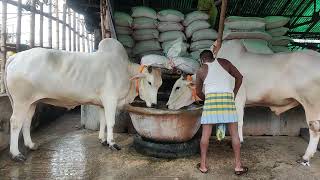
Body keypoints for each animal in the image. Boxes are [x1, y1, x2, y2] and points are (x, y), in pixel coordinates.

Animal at [5, 38, 162, 162]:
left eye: (160, 84)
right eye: (149, 83)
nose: (154, 104)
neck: (125, 72)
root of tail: (15, 57)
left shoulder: (102, 104)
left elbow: (103, 122)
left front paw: (103, 140)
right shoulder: (110, 100)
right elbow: (111, 122)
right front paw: (112, 143)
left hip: (31, 102)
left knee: (26, 122)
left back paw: (31, 145)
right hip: (21, 101)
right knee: (15, 123)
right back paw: (16, 154)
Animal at [166, 39, 320, 166]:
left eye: (177, 87)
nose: (167, 105)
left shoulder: (238, 99)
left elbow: (238, 122)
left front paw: (238, 141)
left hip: (311, 104)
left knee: (314, 129)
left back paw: (306, 157)